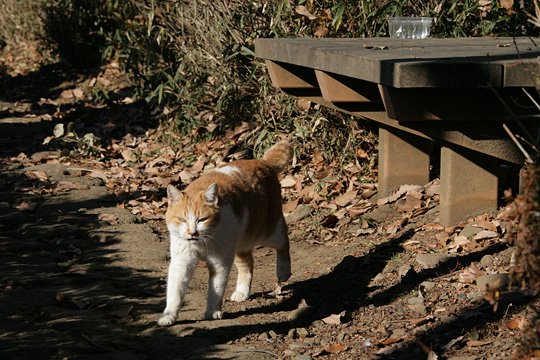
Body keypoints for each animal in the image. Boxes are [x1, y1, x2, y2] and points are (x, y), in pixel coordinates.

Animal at [157, 141, 292, 326]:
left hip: (268, 232)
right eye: (182, 220)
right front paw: (169, 315)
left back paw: (284, 271)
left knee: (284, 239)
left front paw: (213, 312)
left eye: (202, 220)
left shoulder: (220, 262)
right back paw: (242, 291)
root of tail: (263, 162)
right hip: (241, 242)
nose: (192, 232)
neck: (201, 243)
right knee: (247, 262)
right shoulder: (181, 261)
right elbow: (174, 291)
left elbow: (216, 288)